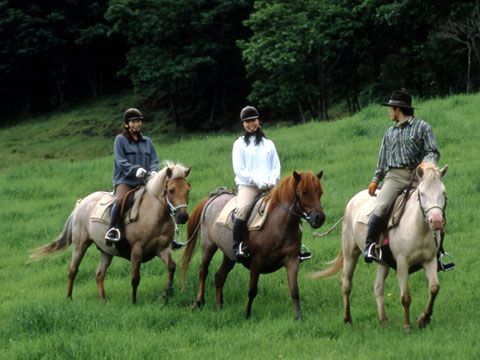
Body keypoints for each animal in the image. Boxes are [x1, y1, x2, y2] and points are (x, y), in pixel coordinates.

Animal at [29, 162, 191, 302]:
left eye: (188, 189)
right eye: (171, 190)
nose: (183, 217)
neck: (153, 215)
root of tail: (81, 204)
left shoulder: (162, 248)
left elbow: (172, 267)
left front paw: (167, 293)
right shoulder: (136, 250)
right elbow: (135, 278)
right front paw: (133, 301)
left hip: (106, 250)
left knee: (99, 274)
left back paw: (103, 299)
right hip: (80, 245)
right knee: (73, 270)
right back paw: (69, 298)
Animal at [181, 170, 326, 320]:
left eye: (320, 192)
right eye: (304, 192)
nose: (319, 218)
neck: (279, 225)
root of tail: (213, 198)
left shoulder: (292, 259)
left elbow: (294, 290)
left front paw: (298, 316)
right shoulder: (257, 260)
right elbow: (252, 290)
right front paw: (246, 314)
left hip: (229, 255)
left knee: (219, 276)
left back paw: (219, 306)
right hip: (208, 246)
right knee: (203, 271)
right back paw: (199, 302)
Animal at [310, 162, 448, 330]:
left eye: (443, 193)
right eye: (421, 194)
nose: (436, 221)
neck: (417, 228)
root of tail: (353, 200)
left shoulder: (430, 260)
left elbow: (434, 288)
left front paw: (424, 319)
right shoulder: (402, 263)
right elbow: (406, 297)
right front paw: (407, 326)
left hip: (383, 263)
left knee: (378, 287)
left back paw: (383, 319)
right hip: (350, 254)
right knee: (346, 284)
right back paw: (347, 319)